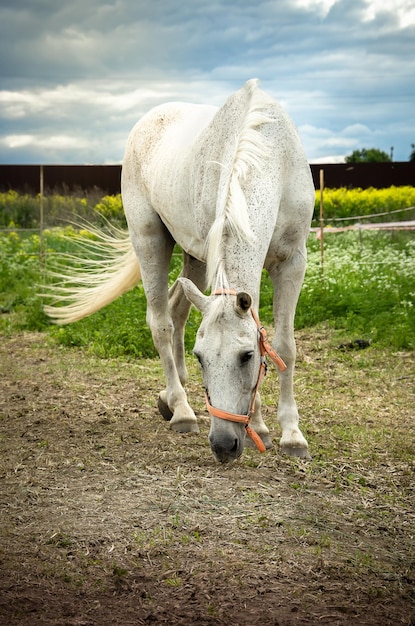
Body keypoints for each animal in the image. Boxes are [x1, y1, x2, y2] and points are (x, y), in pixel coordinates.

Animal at [44, 80, 314, 464]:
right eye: (202, 357)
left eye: (246, 356)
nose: (223, 444)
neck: (269, 153)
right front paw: (262, 426)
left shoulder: (292, 262)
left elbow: (283, 346)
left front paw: (289, 434)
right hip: (150, 241)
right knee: (161, 321)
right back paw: (182, 409)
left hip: (194, 257)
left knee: (178, 309)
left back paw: (169, 399)